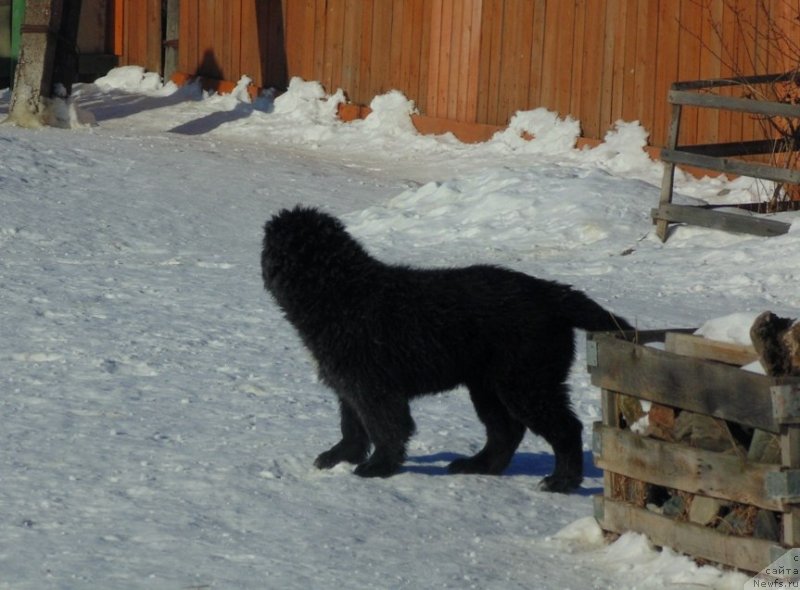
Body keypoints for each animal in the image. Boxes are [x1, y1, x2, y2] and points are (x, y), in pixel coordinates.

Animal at [262, 206, 632, 492]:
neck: (340, 292)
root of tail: (552, 294)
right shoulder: (348, 383)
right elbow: (352, 425)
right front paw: (338, 457)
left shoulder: (375, 387)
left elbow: (387, 428)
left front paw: (378, 467)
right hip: (489, 384)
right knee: (505, 431)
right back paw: (478, 466)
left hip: (527, 380)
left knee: (565, 429)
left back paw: (561, 482)